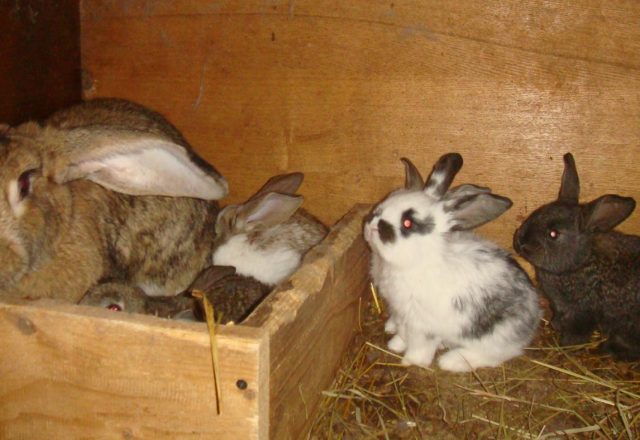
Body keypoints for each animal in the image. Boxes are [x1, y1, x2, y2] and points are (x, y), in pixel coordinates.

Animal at [364, 153, 541, 372]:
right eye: (386, 202)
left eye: (408, 223)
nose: (373, 223)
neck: (417, 261)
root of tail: (534, 317)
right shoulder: (400, 313)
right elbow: (402, 333)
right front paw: (394, 344)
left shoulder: (422, 325)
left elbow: (420, 347)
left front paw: (411, 362)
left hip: (493, 337)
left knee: (496, 355)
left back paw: (450, 360)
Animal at [513, 153, 640, 360]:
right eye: (537, 213)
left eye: (553, 234)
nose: (519, 242)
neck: (581, 263)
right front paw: (555, 325)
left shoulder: (582, 313)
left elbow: (576, 334)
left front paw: (564, 347)